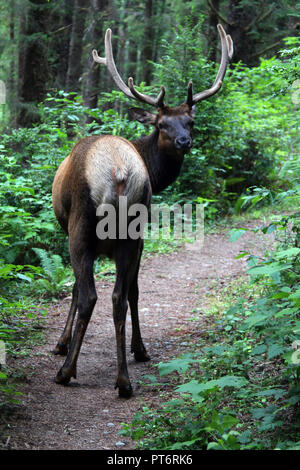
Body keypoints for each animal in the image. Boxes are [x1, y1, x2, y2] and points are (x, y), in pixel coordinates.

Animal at [52, 23, 234, 396]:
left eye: (191, 121)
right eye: (162, 124)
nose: (184, 141)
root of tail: (119, 171)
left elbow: (75, 290)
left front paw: (62, 343)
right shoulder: (143, 235)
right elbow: (132, 291)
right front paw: (140, 349)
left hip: (82, 226)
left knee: (92, 295)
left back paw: (68, 370)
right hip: (131, 230)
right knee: (120, 296)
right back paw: (123, 380)